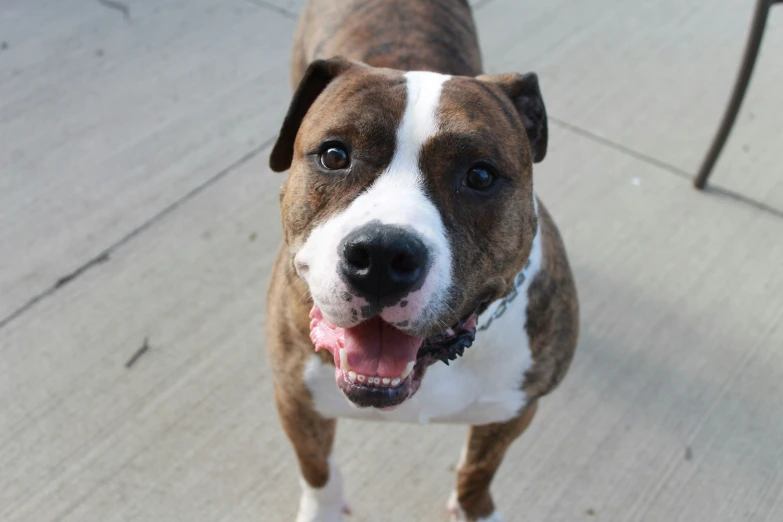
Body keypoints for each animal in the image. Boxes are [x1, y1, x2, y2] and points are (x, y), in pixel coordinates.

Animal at [266, 2, 580, 516]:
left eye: (480, 175)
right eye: (334, 155)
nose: (381, 255)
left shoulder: (513, 412)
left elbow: (478, 471)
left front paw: (475, 511)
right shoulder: (295, 399)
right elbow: (317, 470)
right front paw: (323, 510)